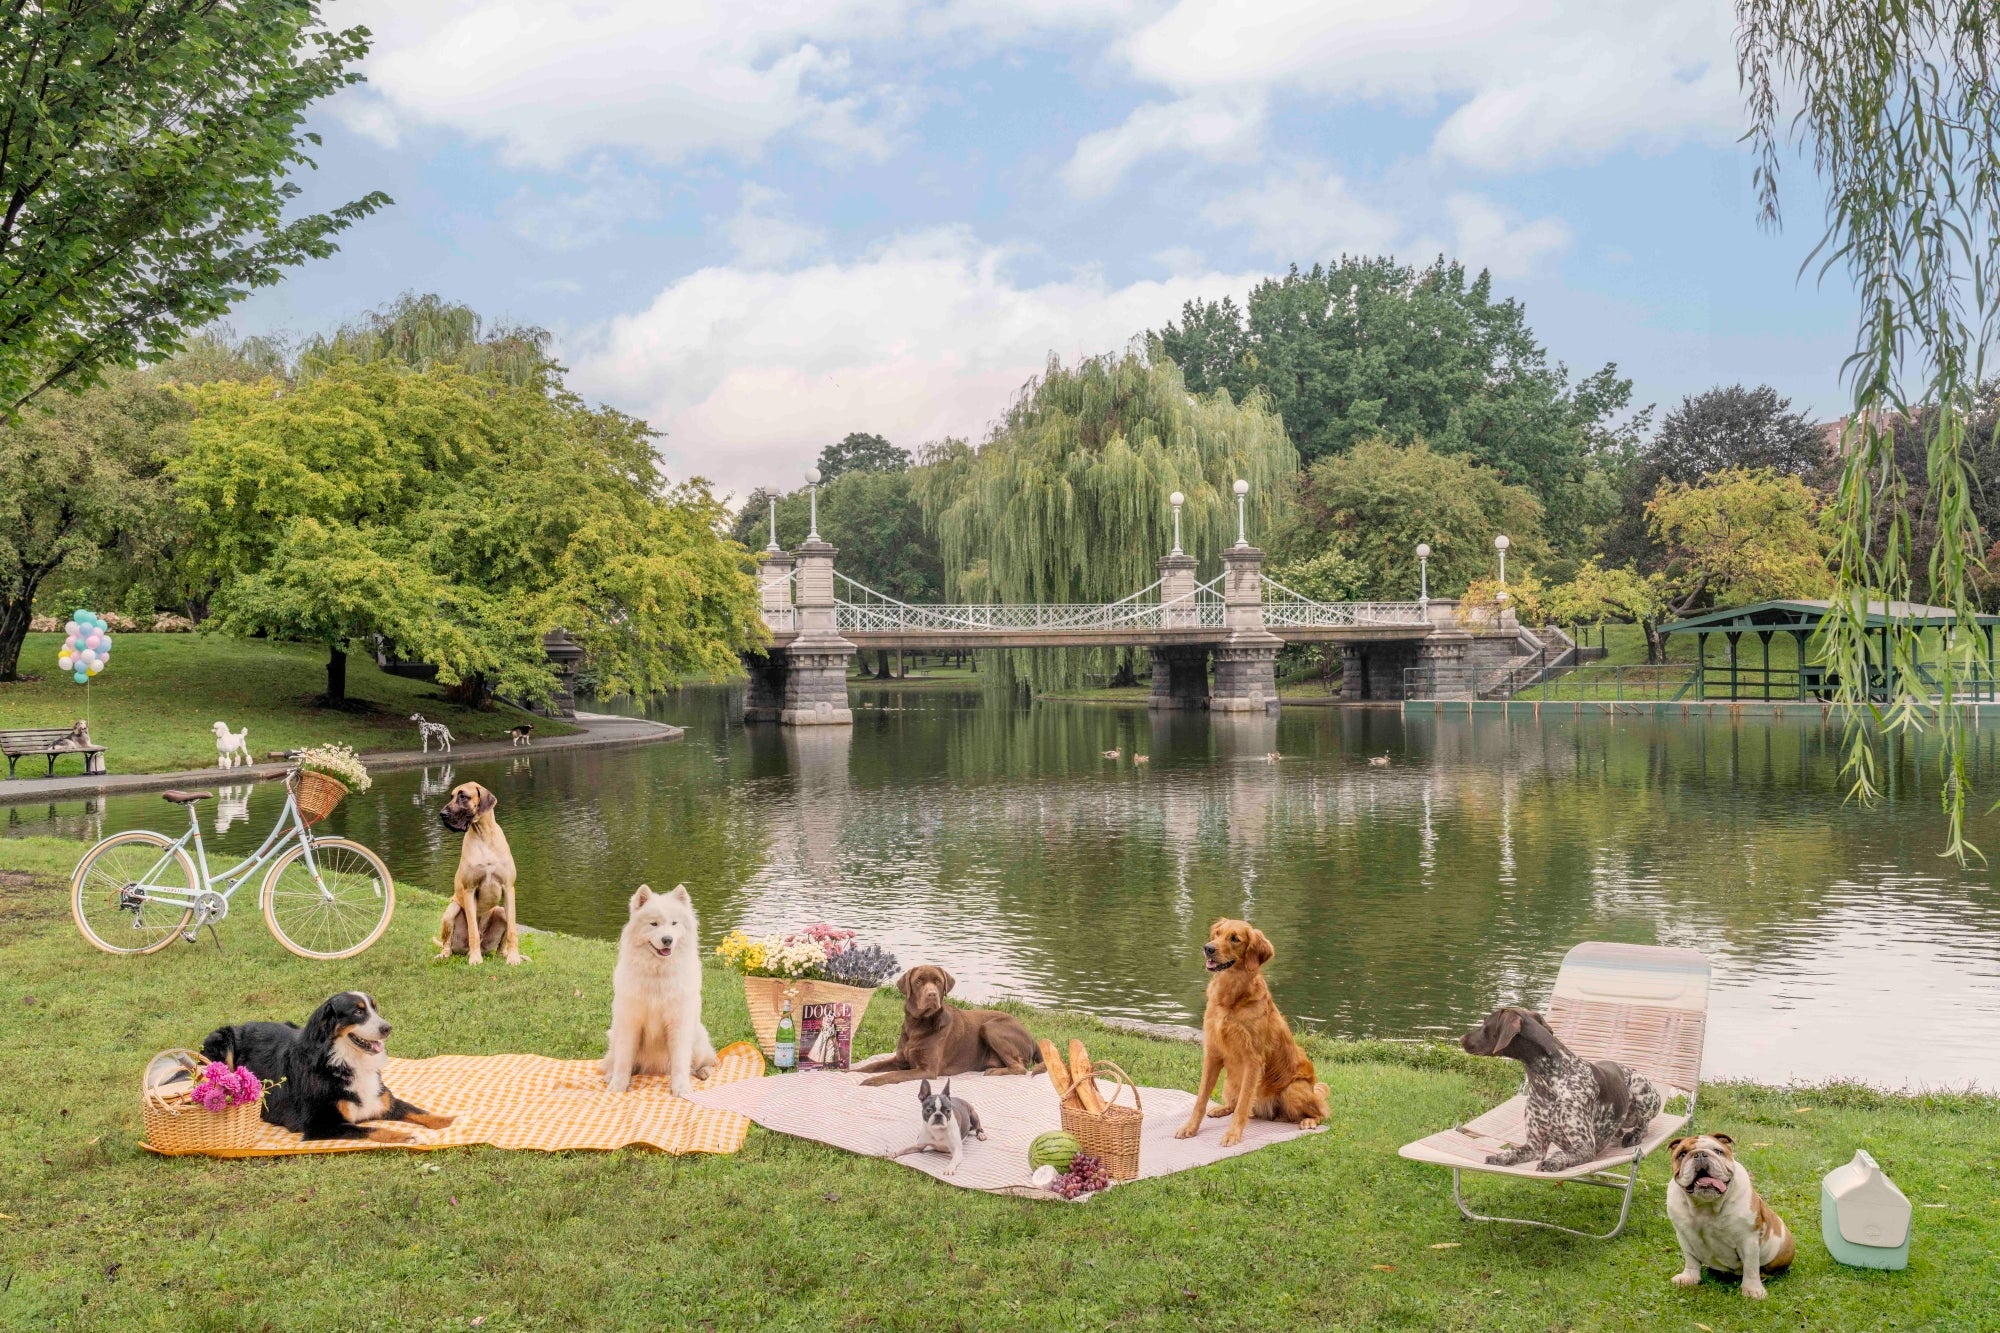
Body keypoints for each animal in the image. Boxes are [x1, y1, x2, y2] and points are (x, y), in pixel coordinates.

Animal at [201, 992, 456, 1136]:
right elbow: (374, 1129)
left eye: (375, 1008)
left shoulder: (382, 1101)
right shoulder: (319, 1124)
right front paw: (407, 1137)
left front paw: (448, 1120)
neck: (343, 1061)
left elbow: (418, 1110)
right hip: (222, 1040)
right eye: (358, 1012)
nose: (387, 1028)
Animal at [600, 880, 720, 1088]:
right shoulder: (629, 1021)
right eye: (653, 924)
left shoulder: (679, 1022)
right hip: (614, 1036)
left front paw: (681, 1089)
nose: (667, 940)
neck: (658, 972)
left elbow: (680, 1062)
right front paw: (617, 1087)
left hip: (698, 1039)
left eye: (674, 923)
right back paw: (610, 1076)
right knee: (614, 1061)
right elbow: (623, 1061)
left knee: (709, 1060)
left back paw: (703, 1072)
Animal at [856, 964, 1048, 1080]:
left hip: (990, 1027)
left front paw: (868, 1082)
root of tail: (1032, 1038)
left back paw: (994, 1071)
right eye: (918, 981)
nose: (932, 994)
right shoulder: (899, 1061)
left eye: (938, 981)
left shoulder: (927, 1070)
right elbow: (871, 1065)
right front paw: (850, 1071)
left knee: (1020, 1068)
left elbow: (891, 1075)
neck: (918, 1025)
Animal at [1464, 1000, 1664, 1168]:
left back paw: (1634, 1135)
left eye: (1485, 1023)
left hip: (1641, 1090)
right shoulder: (1535, 1146)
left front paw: (1553, 1162)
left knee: (1644, 1125)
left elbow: (1561, 1154)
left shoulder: (1584, 1146)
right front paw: (1500, 1156)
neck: (1547, 1084)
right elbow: (1512, 1151)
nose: (1461, 1038)